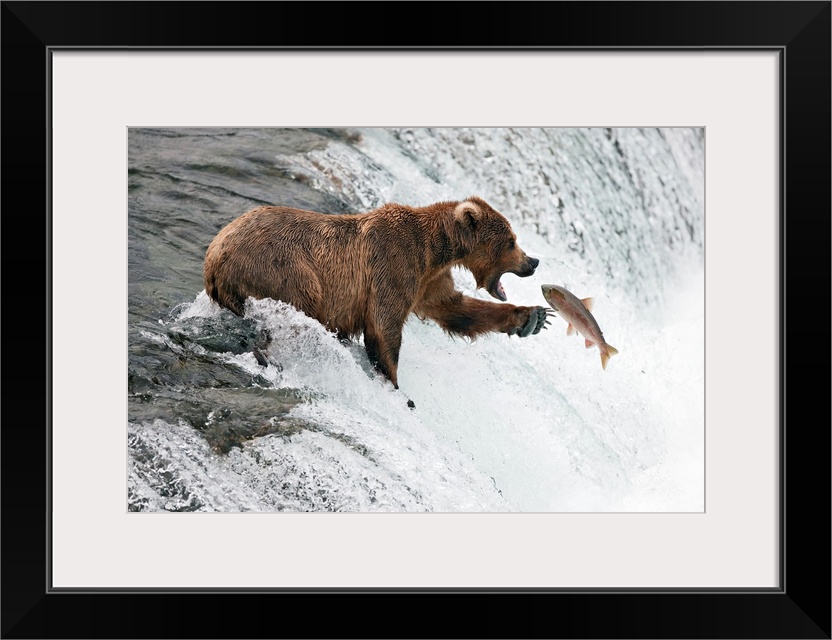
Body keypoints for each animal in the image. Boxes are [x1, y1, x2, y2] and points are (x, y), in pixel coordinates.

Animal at [203, 198, 552, 390]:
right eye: (511, 240)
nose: (533, 262)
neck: (436, 250)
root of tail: (214, 255)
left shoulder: (428, 281)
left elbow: (455, 309)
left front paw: (533, 317)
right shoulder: (394, 265)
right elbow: (384, 328)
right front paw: (394, 384)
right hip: (284, 270)